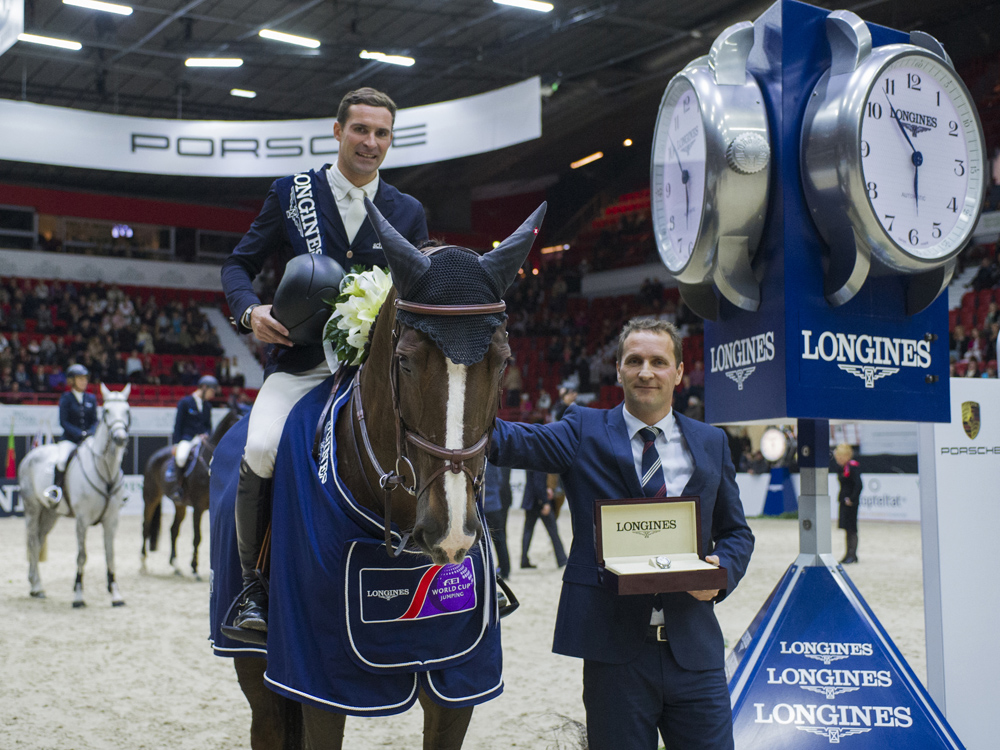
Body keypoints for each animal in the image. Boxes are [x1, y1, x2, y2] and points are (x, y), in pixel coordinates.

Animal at [17, 384, 132, 608]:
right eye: (106, 411)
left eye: (127, 411)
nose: (120, 438)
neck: (105, 472)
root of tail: (31, 454)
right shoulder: (82, 520)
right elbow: (81, 556)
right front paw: (78, 596)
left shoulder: (111, 520)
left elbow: (111, 555)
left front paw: (116, 595)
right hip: (32, 509)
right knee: (33, 542)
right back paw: (37, 586)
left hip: (50, 514)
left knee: (39, 540)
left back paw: (36, 587)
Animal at [141, 408, 244, 580]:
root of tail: (153, 457)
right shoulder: (198, 507)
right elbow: (198, 537)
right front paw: (195, 568)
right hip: (151, 498)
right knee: (146, 526)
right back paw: (143, 563)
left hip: (179, 505)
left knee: (173, 530)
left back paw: (176, 566)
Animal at [209, 201, 540, 750]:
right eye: (404, 362)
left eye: (504, 361)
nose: (450, 532)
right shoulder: (319, 679)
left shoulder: (460, 683)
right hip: (256, 666)